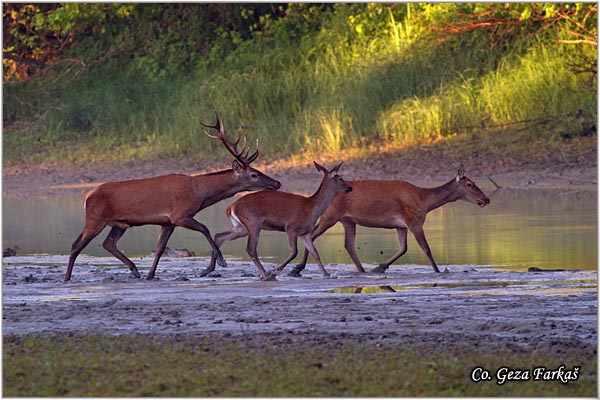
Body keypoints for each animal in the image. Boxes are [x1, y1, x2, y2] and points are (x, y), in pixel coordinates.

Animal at [65, 112, 282, 282]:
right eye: (253, 174)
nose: (277, 184)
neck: (198, 193)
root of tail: (87, 195)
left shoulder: (167, 222)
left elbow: (160, 247)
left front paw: (150, 275)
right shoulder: (180, 214)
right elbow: (205, 228)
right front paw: (219, 262)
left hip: (119, 223)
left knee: (108, 243)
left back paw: (135, 270)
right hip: (95, 218)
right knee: (76, 245)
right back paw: (67, 278)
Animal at [204, 161, 352, 280]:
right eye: (340, 178)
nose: (350, 188)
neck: (312, 208)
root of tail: (231, 207)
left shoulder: (305, 232)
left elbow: (315, 253)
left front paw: (326, 274)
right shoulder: (290, 227)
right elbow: (294, 252)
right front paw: (275, 270)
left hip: (240, 228)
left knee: (220, 236)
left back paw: (209, 269)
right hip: (253, 223)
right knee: (250, 248)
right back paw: (266, 274)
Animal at [288, 165, 490, 276]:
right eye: (470, 184)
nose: (486, 199)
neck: (424, 201)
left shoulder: (401, 226)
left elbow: (403, 248)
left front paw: (380, 267)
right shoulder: (414, 221)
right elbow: (426, 248)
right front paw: (438, 271)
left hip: (348, 220)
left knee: (348, 245)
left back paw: (362, 270)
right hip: (330, 215)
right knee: (312, 235)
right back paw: (297, 269)